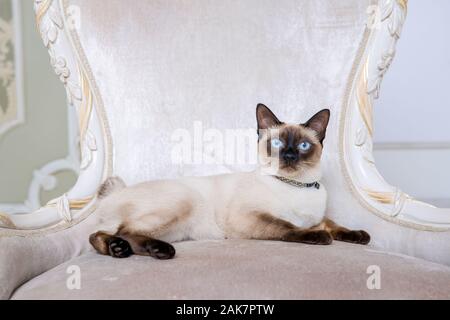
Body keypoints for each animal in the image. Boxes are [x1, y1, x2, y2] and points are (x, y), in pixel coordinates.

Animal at [89, 105, 370, 260]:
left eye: (302, 146)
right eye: (277, 143)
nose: (289, 157)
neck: (296, 186)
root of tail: (115, 192)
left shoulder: (316, 217)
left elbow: (334, 224)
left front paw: (359, 235)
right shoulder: (251, 218)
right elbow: (289, 227)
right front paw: (320, 237)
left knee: (103, 234)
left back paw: (118, 249)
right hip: (183, 202)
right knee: (121, 231)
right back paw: (156, 251)